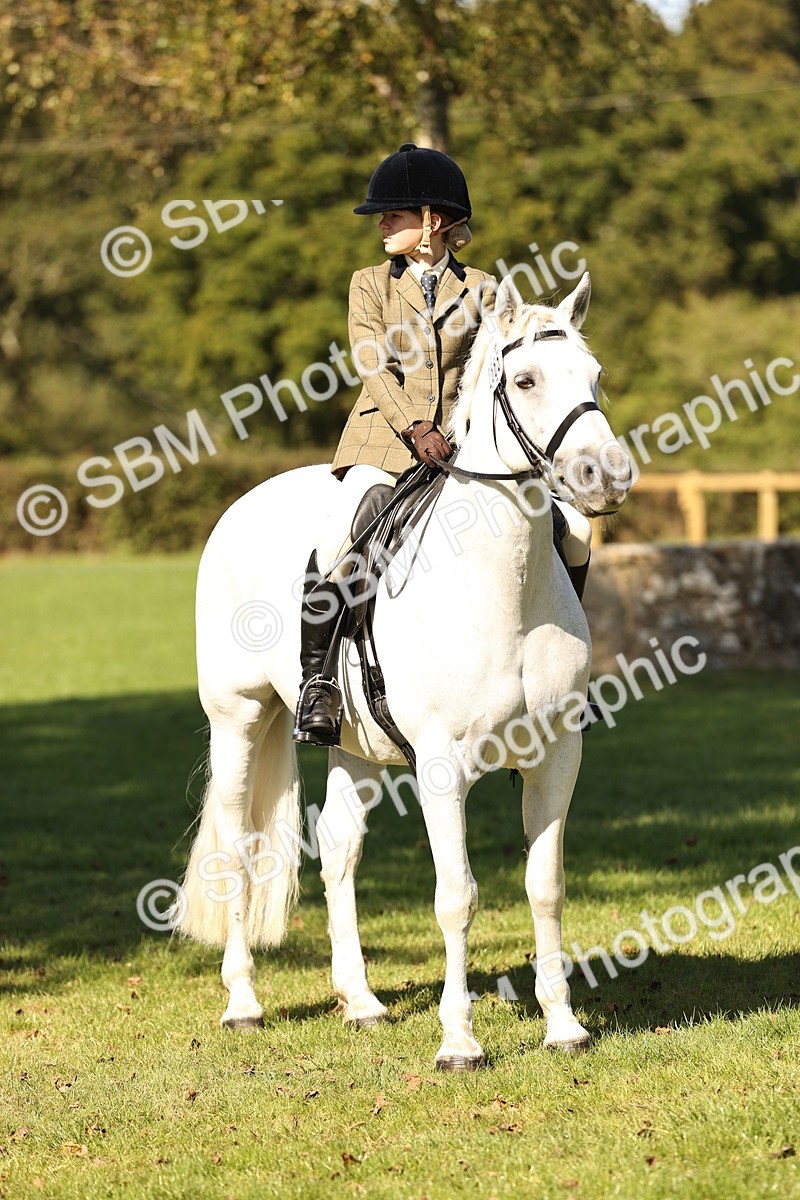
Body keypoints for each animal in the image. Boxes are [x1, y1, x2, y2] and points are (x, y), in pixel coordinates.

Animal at [173, 271, 632, 1070]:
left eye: (595, 376)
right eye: (526, 379)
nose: (604, 477)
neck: (504, 585)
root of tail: (243, 505)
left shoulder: (557, 755)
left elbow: (545, 886)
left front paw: (563, 1026)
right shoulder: (443, 765)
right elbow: (458, 896)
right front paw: (459, 1042)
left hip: (356, 744)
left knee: (338, 851)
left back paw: (360, 1002)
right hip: (237, 718)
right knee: (236, 850)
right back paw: (243, 1004)